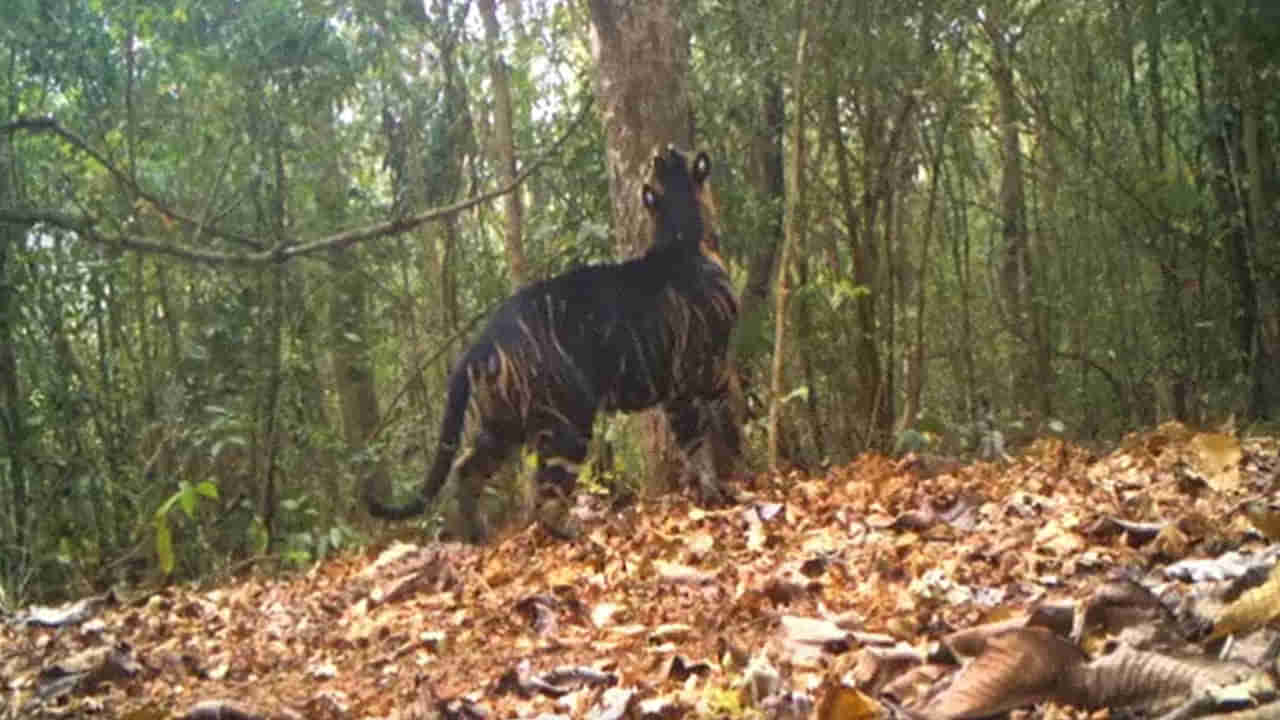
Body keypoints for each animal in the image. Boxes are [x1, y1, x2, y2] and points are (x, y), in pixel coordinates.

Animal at [366, 146, 742, 538]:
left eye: (669, 155)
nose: (661, 150)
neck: (680, 233)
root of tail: (481, 342)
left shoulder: (675, 389)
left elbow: (693, 435)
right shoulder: (704, 367)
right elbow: (711, 424)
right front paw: (721, 484)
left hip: (501, 424)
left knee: (466, 469)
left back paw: (477, 534)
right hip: (569, 420)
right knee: (546, 498)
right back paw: (579, 532)